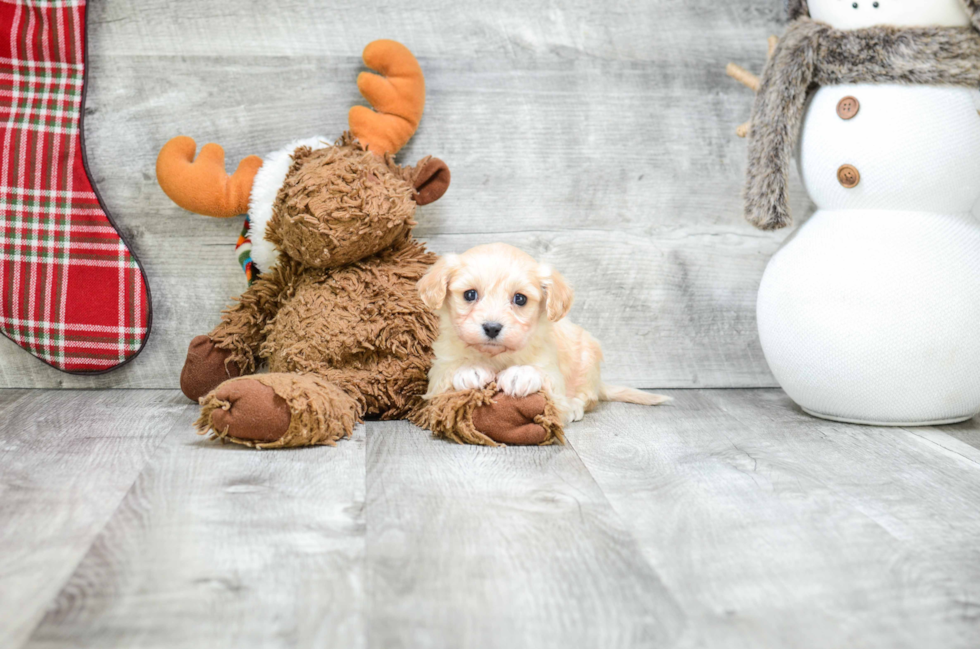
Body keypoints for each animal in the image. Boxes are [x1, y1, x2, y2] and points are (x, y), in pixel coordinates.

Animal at [418, 243, 668, 426]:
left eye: (520, 299)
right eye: (470, 294)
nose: (492, 327)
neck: (497, 356)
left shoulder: (551, 371)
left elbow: (544, 377)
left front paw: (521, 374)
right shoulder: (438, 371)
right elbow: (448, 371)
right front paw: (471, 369)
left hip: (588, 360)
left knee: (587, 397)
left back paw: (574, 407)